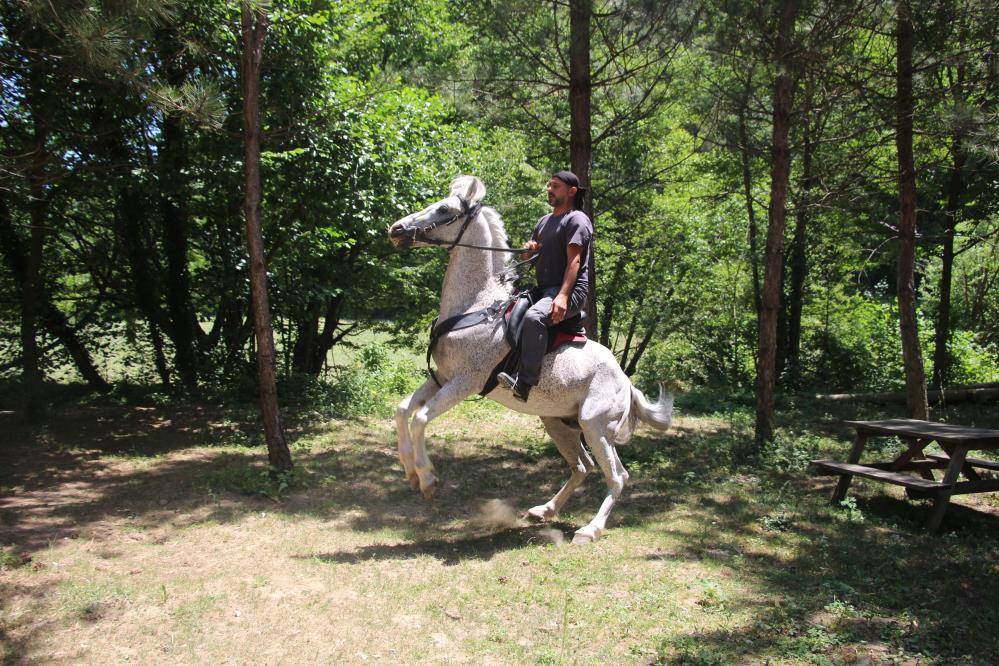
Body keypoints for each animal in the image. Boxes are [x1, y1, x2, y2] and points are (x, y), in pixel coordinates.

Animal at [386, 174, 676, 544]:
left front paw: (427, 478)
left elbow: (420, 418)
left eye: (444, 209)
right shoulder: (442, 376)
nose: (396, 229)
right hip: (557, 422)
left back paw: (590, 529)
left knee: (617, 476)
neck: (477, 305)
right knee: (582, 467)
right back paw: (544, 510)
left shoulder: (465, 382)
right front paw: (409, 470)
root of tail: (626, 382)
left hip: (594, 426)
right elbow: (402, 411)